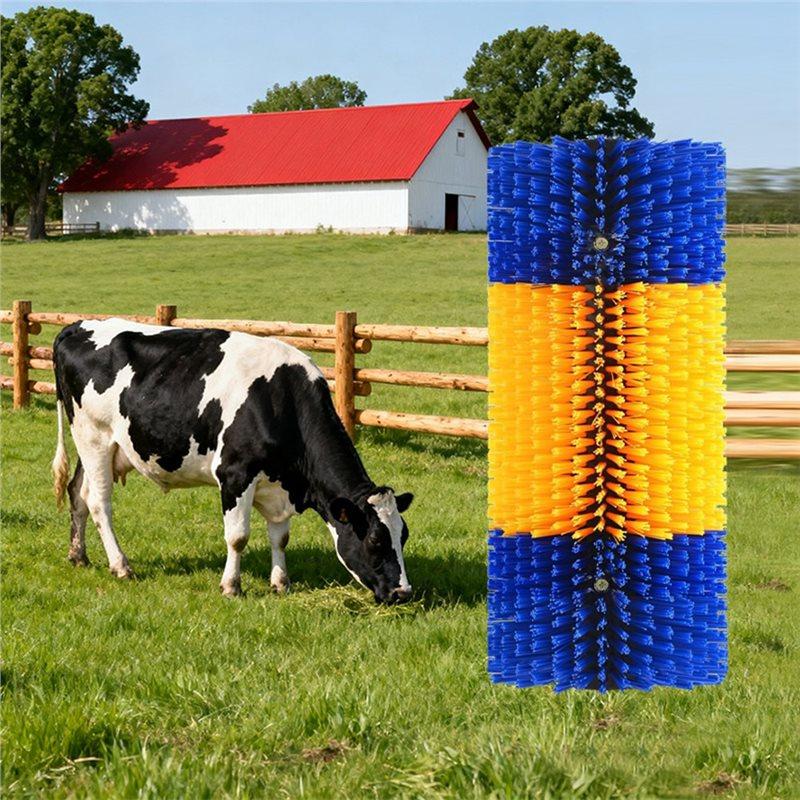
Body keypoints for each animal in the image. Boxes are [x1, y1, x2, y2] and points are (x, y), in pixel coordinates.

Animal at [51, 319, 414, 604]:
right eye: (375, 540)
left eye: (404, 535)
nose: (403, 593)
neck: (280, 399)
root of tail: (77, 326)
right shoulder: (235, 474)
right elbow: (238, 537)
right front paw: (231, 587)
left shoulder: (279, 486)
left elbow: (280, 537)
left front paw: (281, 584)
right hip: (94, 437)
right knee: (99, 503)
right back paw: (121, 566)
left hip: (97, 444)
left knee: (77, 493)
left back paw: (78, 555)